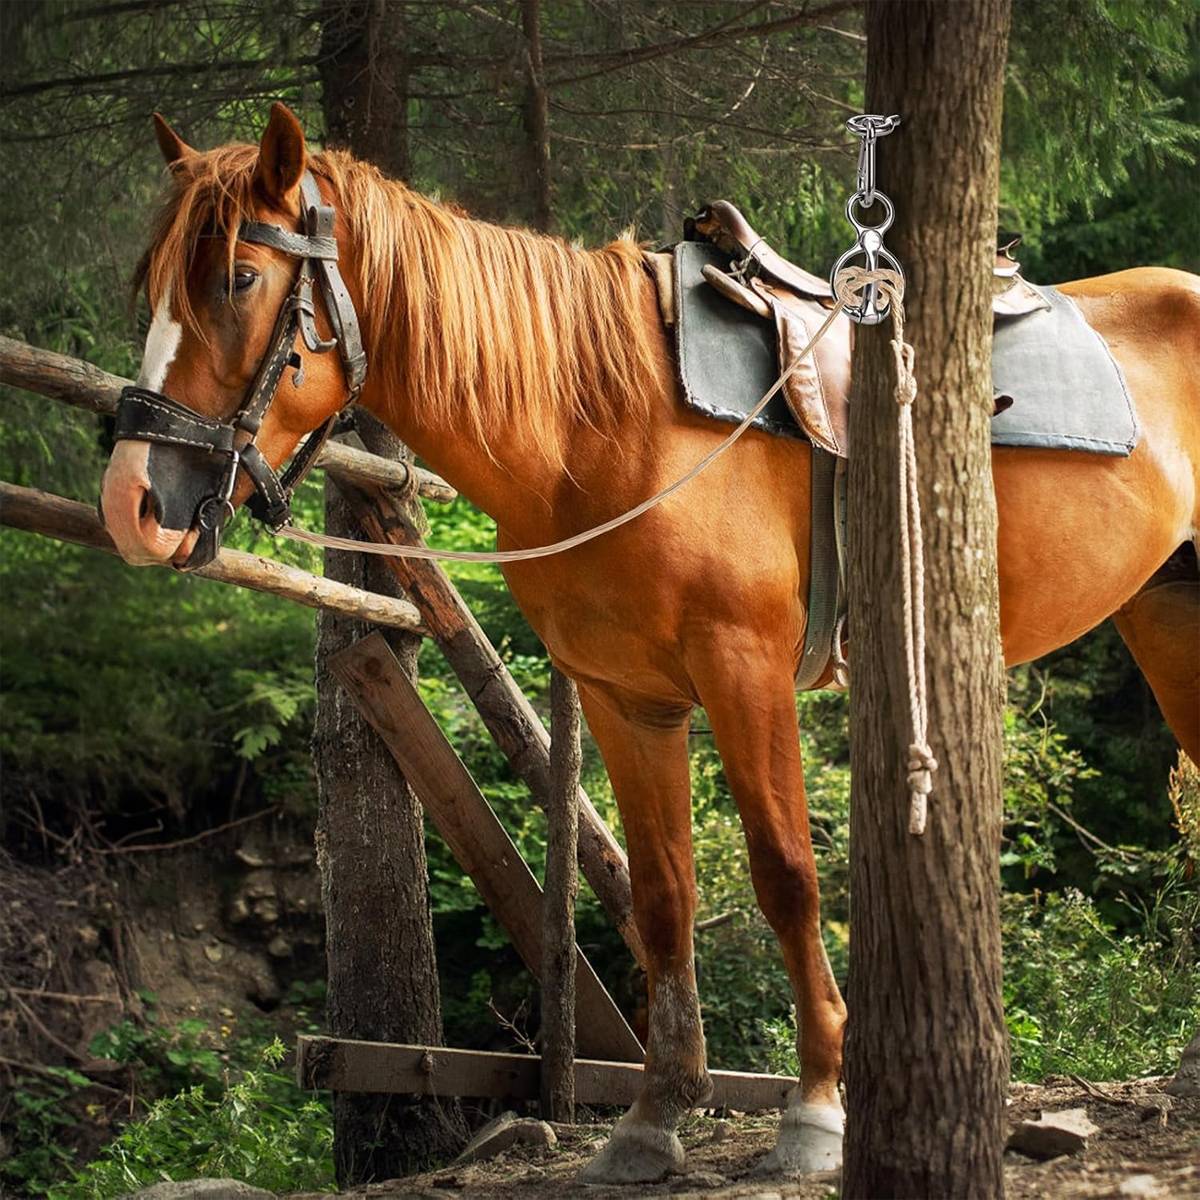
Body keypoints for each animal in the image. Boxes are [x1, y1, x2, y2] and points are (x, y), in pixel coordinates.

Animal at [99, 103, 1200, 1181]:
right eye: (151, 288)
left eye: (240, 278)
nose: (131, 505)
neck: (599, 425)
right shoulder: (628, 697)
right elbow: (664, 893)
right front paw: (655, 1117)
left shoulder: (744, 671)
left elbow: (786, 875)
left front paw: (814, 1108)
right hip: (1167, 615)